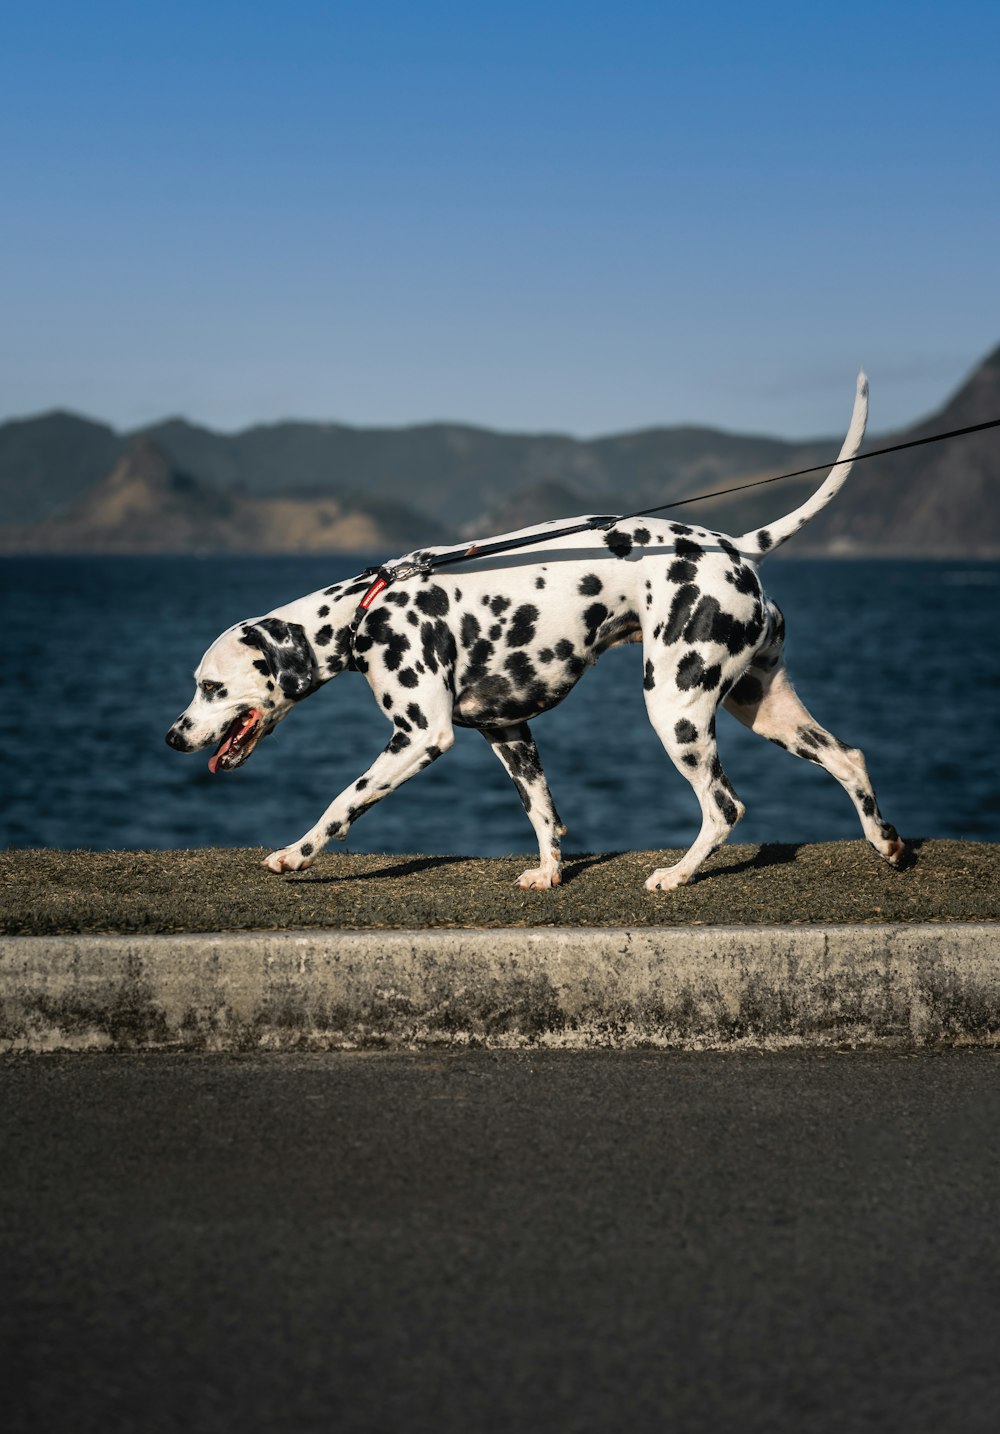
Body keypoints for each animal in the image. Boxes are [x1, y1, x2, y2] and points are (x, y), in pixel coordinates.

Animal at [167, 369, 901, 883]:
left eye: (209, 687)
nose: (173, 738)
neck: (363, 610)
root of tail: (736, 546)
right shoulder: (508, 731)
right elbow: (543, 812)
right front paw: (549, 872)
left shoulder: (420, 737)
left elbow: (342, 802)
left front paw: (296, 854)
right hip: (763, 705)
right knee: (849, 757)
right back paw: (886, 844)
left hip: (676, 709)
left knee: (724, 807)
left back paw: (676, 875)